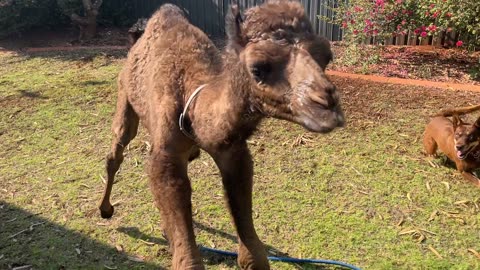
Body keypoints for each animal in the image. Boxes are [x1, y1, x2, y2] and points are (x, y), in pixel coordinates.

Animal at [99, 1, 344, 268]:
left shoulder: (232, 151)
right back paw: (106, 209)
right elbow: (188, 260)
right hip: (125, 96)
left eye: (326, 56)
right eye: (258, 68)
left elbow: (253, 256)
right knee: (117, 149)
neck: (192, 101)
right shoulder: (166, 155)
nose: (327, 106)